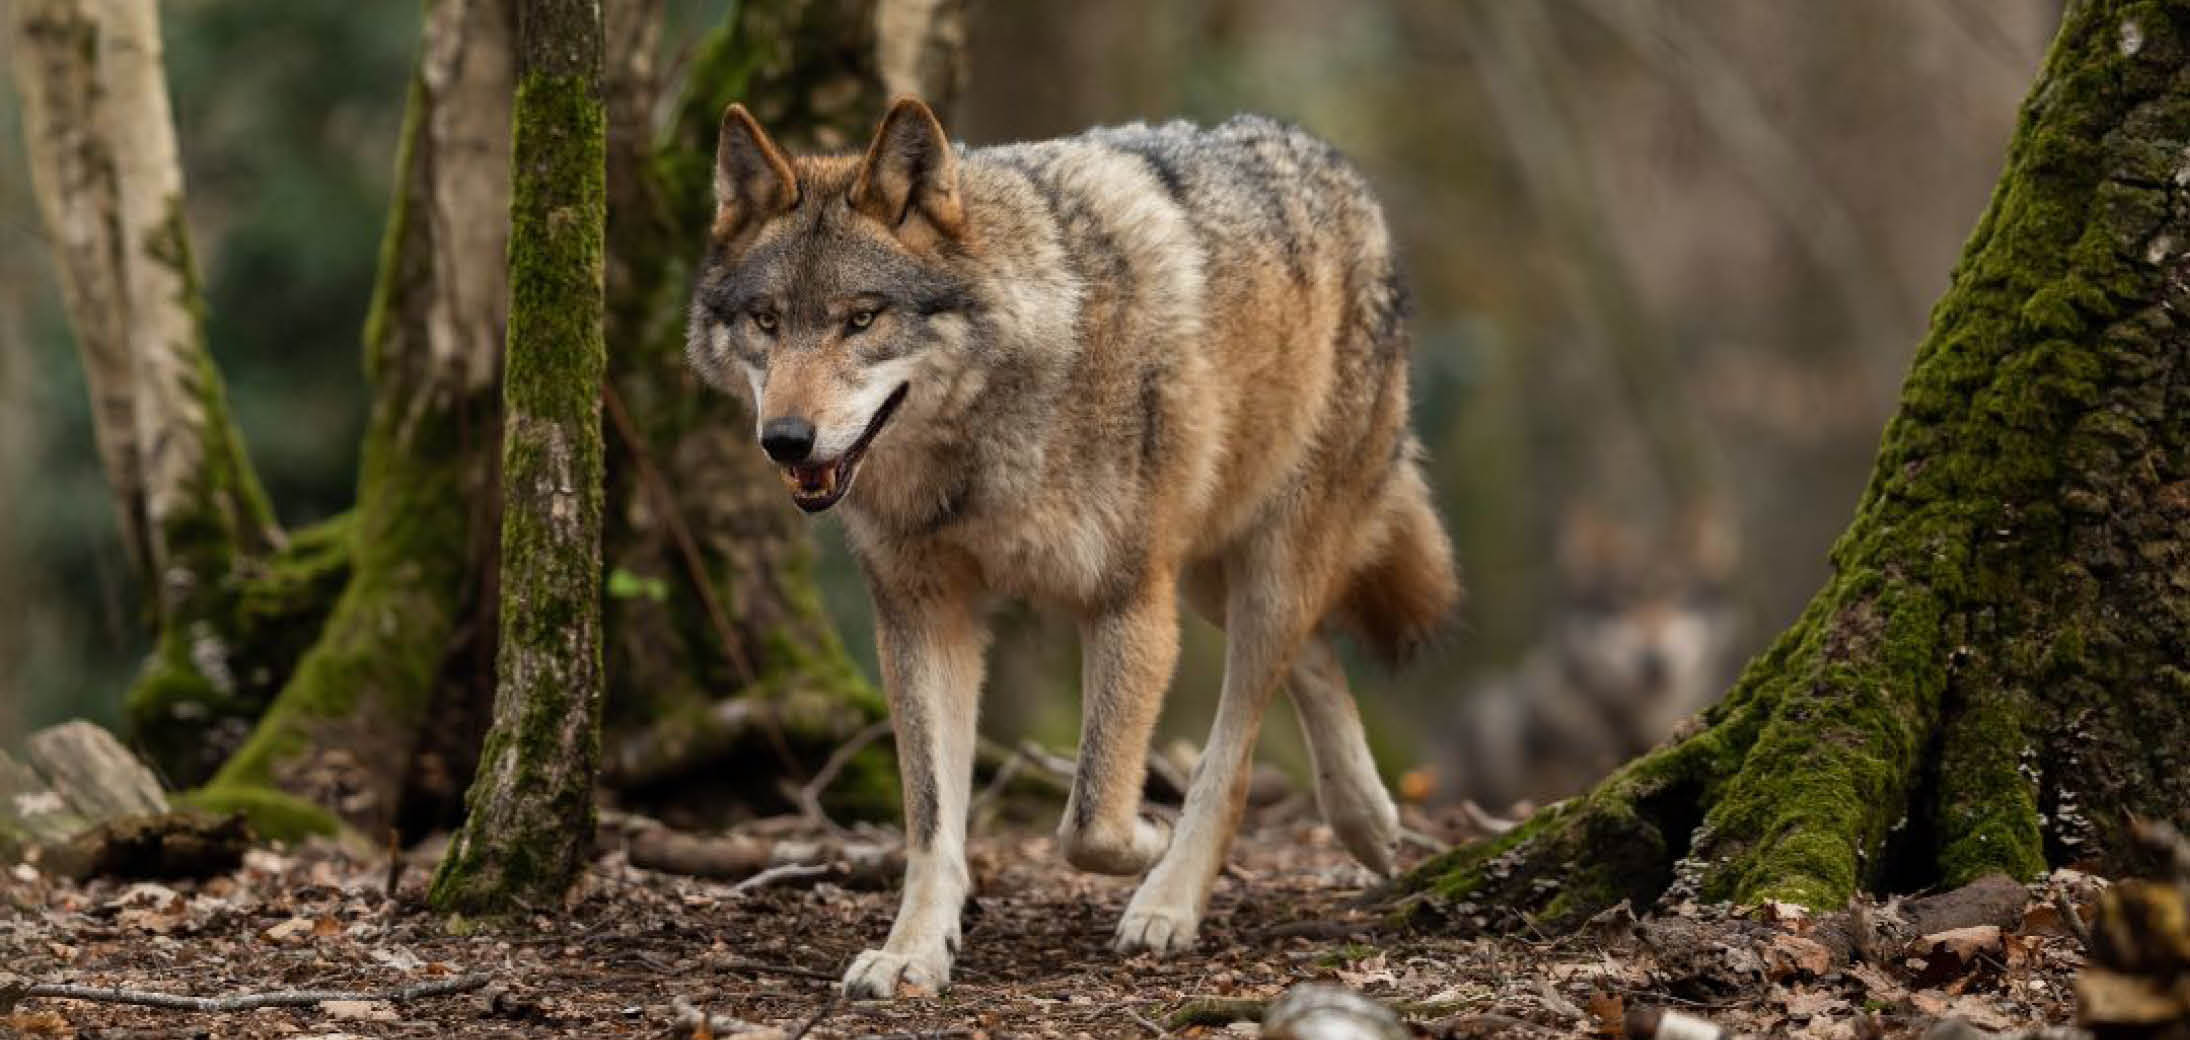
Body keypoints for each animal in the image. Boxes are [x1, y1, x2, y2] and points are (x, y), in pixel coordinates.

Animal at [685, 97, 1460, 999]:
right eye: (767, 321)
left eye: (862, 318)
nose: (785, 440)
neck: (978, 445)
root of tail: (1328, 162)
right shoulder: (922, 616)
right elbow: (931, 819)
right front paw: (912, 953)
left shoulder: (1128, 600)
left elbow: (1088, 818)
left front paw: (1149, 841)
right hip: (1206, 571)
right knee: (1310, 657)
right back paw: (1368, 821)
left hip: (1255, 565)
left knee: (1238, 742)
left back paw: (1172, 899)